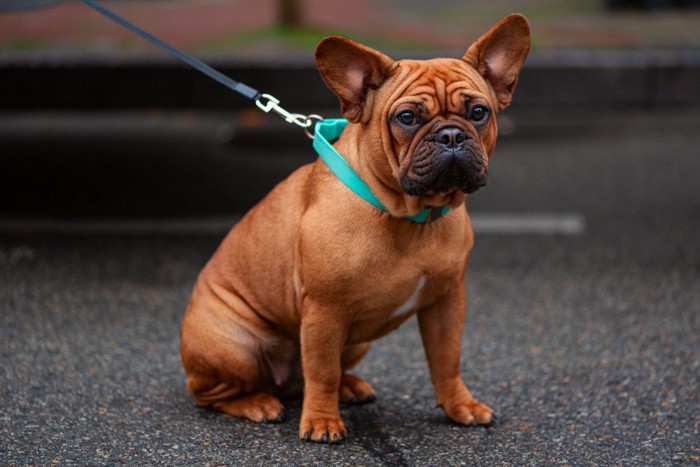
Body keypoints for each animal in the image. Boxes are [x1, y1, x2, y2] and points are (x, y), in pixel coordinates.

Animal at [180, 13, 532, 446]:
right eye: (407, 118)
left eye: (479, 112)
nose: (450, 134)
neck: (410, 216)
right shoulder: (325, 312)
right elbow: (321, 371)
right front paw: (321, 422)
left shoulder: (446, 302)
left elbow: (447, 359)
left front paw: (460, 405)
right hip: (235, 348)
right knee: (212, 393)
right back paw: (257, 403)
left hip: (355, 344)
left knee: (308, 378)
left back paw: (348, 387)